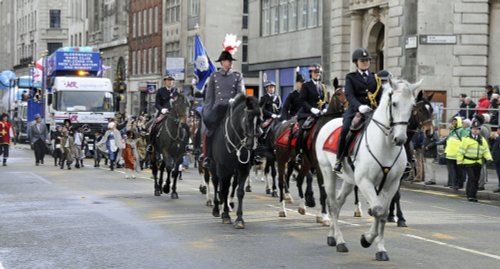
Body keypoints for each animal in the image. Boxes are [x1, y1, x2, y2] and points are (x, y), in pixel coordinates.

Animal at [208, 93, 260, 227]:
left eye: (260, 120)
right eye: (247, 119)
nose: (252, 144)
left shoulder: (243, 169)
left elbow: (239, 191)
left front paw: (239, 219)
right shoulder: (223, 168)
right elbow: (225, 190)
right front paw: (226, 215)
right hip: (214, 167)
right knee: (216, 183)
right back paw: (217, 208)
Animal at [316, 77, 422, 260]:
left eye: (412, 106)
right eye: (394, 103)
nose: (400, 139)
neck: (385, 145)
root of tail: (327, 123)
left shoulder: (391, 184)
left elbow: (383, 212)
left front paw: (380, 248)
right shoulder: (365, 181)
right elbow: (377, 210)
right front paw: (367, 239)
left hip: (349, 180)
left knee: (338, 202)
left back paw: (332, 236)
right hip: (327, 172)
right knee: (332, 204)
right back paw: (340, 241)